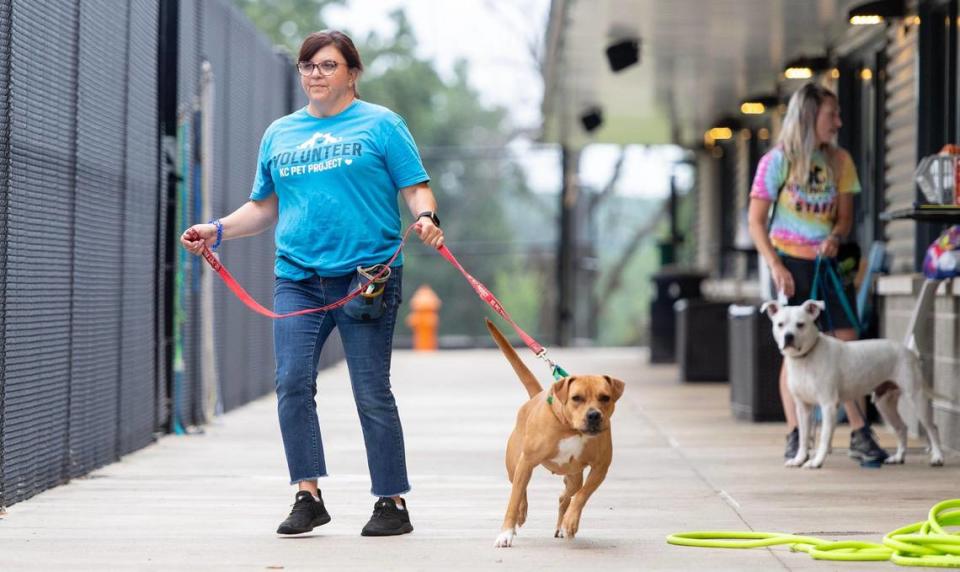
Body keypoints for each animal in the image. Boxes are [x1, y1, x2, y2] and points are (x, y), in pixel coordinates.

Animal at [488, 320, 624, 548]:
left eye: (605, 397)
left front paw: (571, 521)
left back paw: (561, 525)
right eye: (577, 398)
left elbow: (582, 496)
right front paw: (505, 533)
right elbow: (514, 499)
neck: (571, 428)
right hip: (514, 463)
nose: (594, 415)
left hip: (574, 476)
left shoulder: (600, 467)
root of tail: (536, 396)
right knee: (519, 488)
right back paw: (521, 515)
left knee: (566, 495)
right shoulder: (526, 462)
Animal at [764, 300, 944, 470]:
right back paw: (898, 457)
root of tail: (909, 352)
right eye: (780, 324)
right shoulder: (803, 408)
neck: (806, 357)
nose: (788, 336)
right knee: (901, 428)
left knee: (932, 428)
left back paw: (937, 458)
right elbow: (803, 437)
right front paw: (799, 459)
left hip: (915, 398)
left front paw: (816, 462)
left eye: (800, 324)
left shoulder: (828, 405)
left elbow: (824, 438)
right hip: (884, 404)